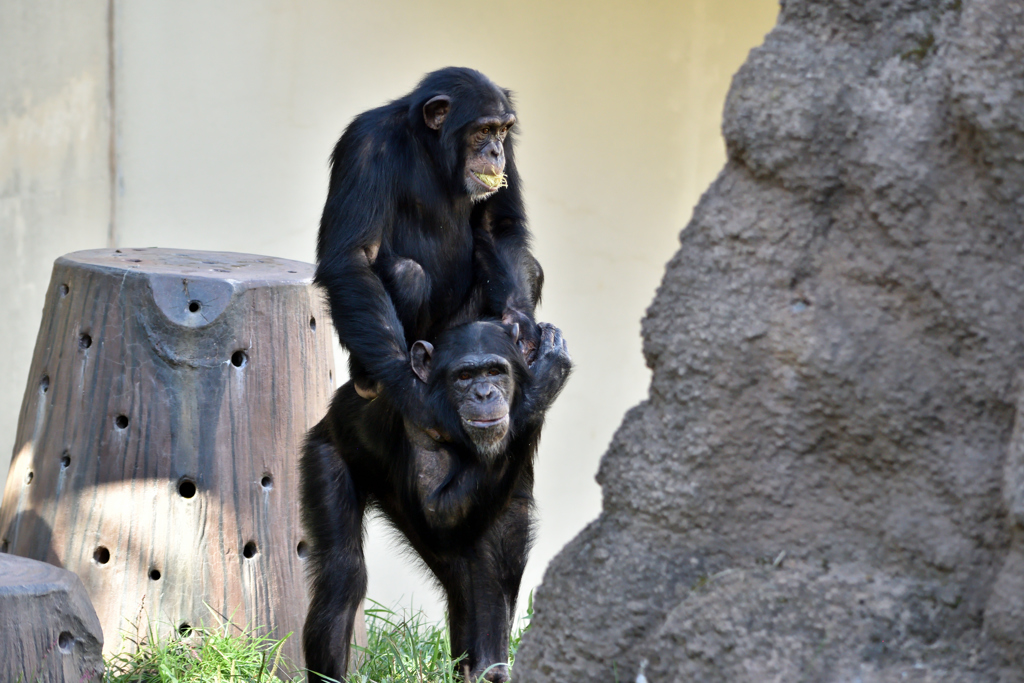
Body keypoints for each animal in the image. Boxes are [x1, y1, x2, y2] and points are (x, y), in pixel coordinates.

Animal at [299, 321, 573, 683]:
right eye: (464, 376)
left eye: (495, 371)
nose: (484, 394)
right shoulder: (419, 417)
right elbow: (438, 512)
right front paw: (547, 376)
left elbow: (501, 543)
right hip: (325, 449)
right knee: (342, 573)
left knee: (461, 580)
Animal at [315, 66, 544, 417]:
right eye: (483, 130)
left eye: (503, 130)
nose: (496, 151)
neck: (430, 146)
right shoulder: (364, 143)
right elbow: (355, 255)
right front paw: (402, 383)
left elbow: (497, 225)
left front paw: (522, 327)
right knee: (407, 274)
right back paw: (371, 380)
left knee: (530, 266)